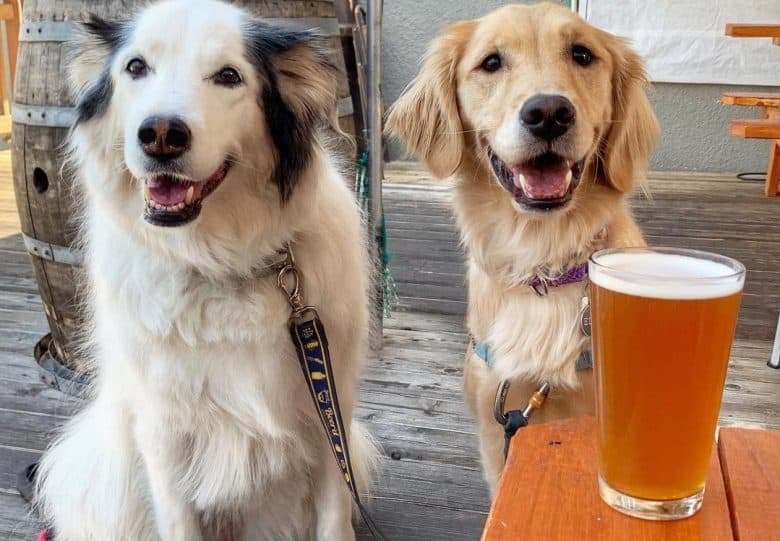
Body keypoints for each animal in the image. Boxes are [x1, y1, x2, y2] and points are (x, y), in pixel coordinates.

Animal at [36, 1, 374, 540]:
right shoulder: (161, 432)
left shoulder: (329, 413)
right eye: (135, 67)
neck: (219, 263)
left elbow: (334, 518)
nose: (160, 135)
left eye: (228, 76)